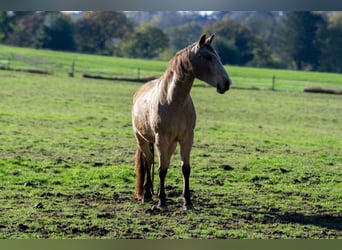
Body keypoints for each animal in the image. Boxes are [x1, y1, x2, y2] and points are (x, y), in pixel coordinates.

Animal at [131, 34, 232, 210]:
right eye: (208, 57)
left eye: (218, 56)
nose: (226, 83)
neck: (173, 101)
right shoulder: (161, 139)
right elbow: (161, 169)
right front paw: (162, 202)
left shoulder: (187, 139)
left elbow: (185, 168)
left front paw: (187, 201)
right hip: (142, 139)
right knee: (149, 162)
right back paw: (147, 195)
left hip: (170, 144)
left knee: (163, 161)